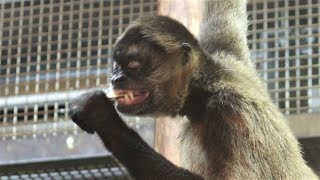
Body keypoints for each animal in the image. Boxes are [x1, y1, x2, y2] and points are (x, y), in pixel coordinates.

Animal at [68, 0, 318, 179]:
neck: (205, 91)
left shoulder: (229, 113)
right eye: (116, 67)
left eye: (134, 66)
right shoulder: (228, 55)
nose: (116, 79)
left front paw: (103, 118)